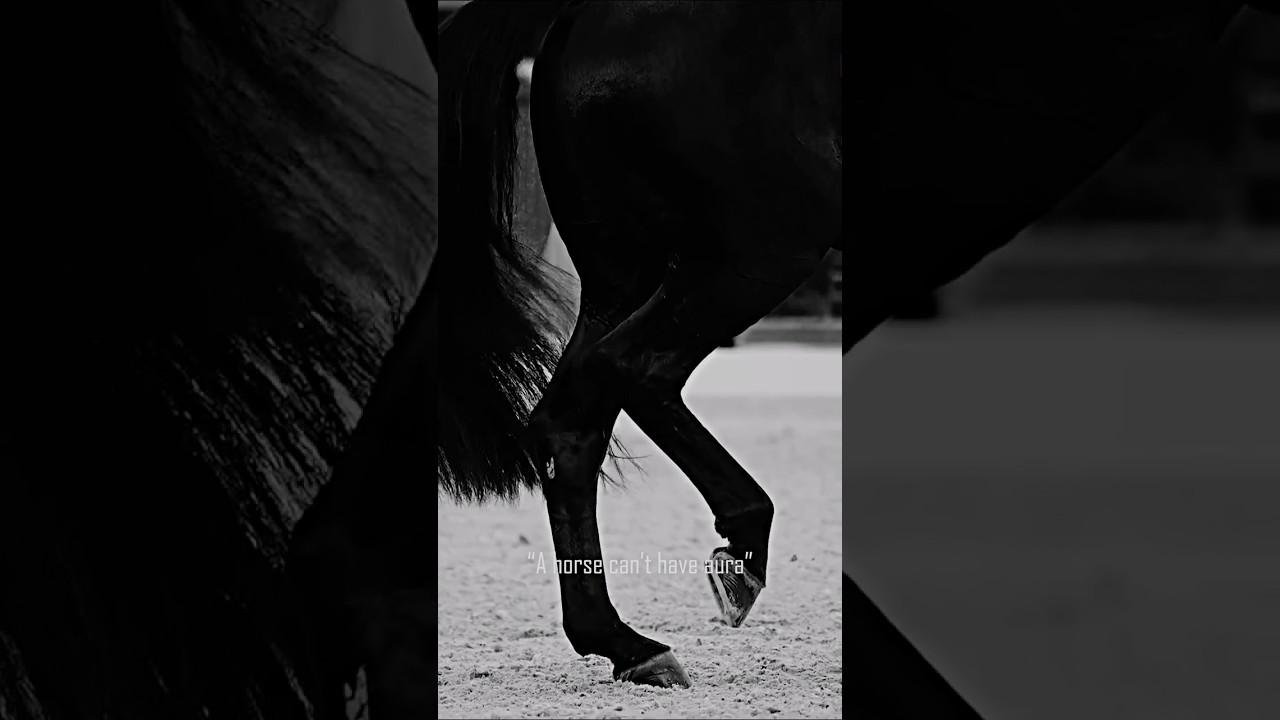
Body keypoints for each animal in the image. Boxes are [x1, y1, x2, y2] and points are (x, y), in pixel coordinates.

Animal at [437, 0, 1275, 717]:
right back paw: (737, 556)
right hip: (763, 242)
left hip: (631, 270)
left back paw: (627, 644)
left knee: (572, 419)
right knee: (634, 371)